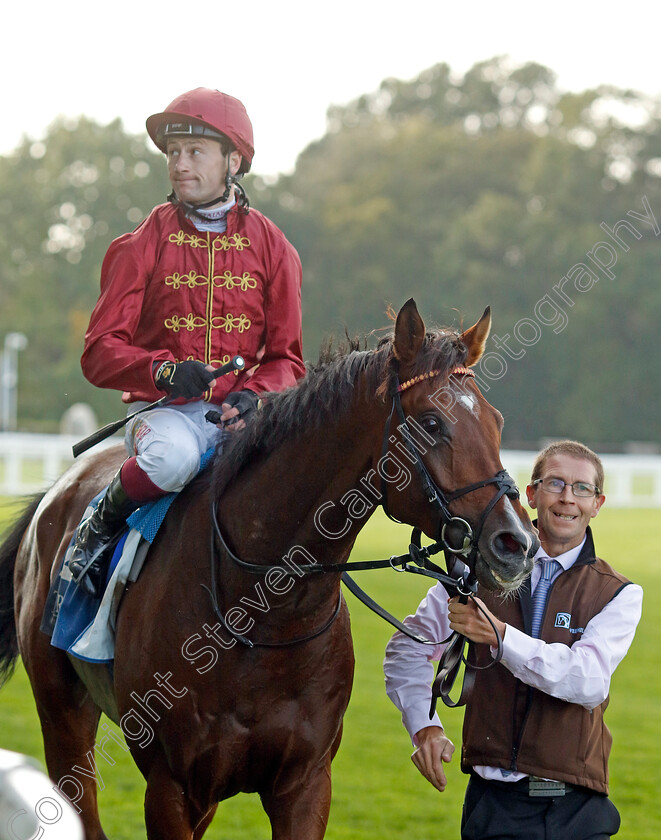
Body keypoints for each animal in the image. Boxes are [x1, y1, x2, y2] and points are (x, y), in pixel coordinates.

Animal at [0, 298, 536, 836]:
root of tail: (58, 488)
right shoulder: (170, 784)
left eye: (497, 421)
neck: (263, 618)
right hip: (63, 714)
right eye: (431, 422)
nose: (518, 543)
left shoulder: (305, 782)